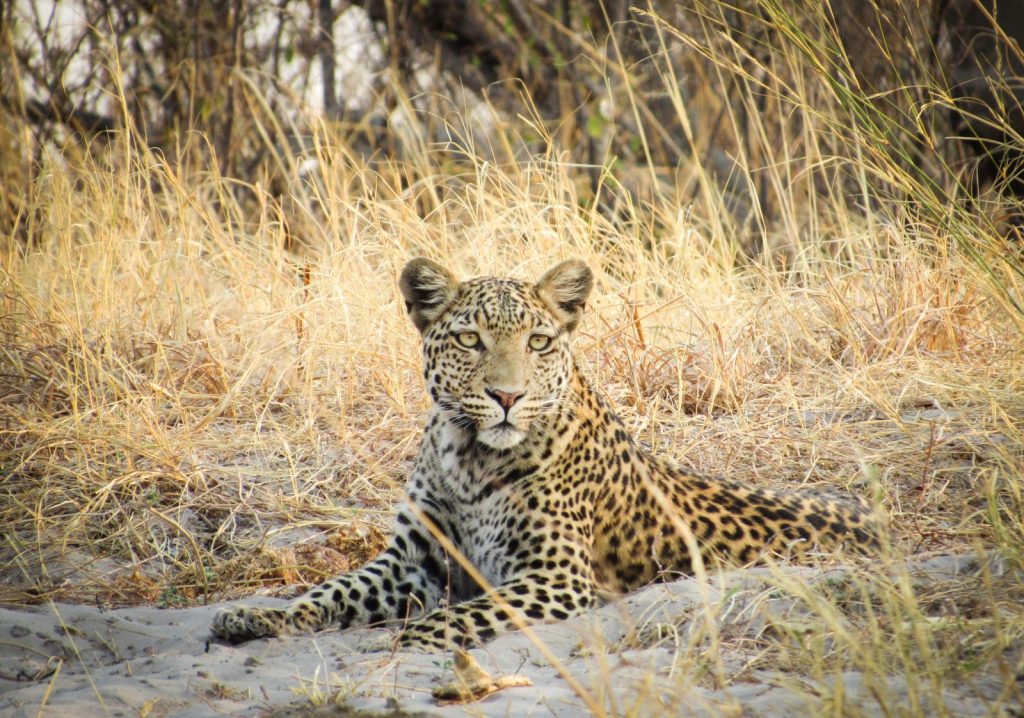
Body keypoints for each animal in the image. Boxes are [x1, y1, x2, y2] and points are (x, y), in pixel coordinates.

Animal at [210, 258, 882, 651]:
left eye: (537, 341)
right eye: (469, 339)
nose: (507, 396)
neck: (468, 457)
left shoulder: (555, 576)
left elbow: (459, 616)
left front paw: (403, 642)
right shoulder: (414, 561)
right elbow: (330, 592)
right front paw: (256, 618)